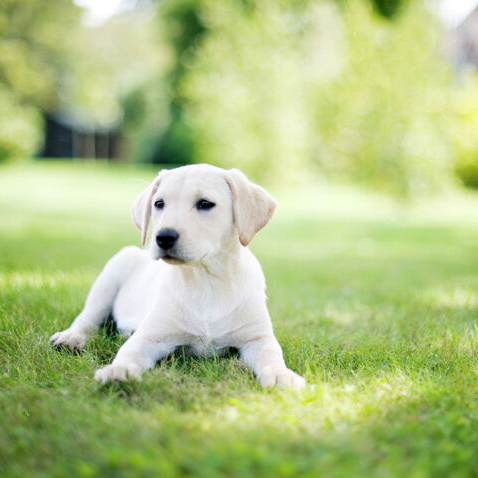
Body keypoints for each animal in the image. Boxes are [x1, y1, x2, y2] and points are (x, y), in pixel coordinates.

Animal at [50, 162, 304, 390]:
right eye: (159, 204)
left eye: (205, 203)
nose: (164, 237)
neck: (205, 281)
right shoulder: (151, 335)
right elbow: (129, 350)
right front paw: (118, 370)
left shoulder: (257, 337)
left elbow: (272, 354)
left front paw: (281, 375)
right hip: (114, 270)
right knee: (88, 317)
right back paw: (71, 337)